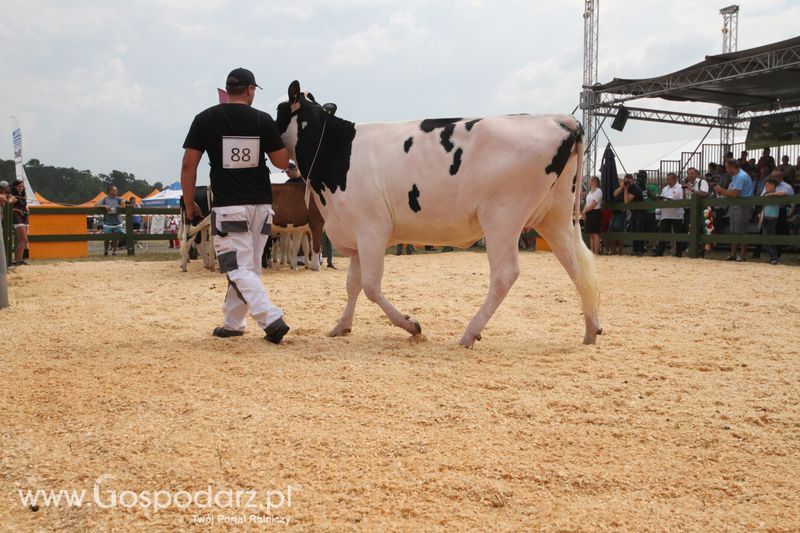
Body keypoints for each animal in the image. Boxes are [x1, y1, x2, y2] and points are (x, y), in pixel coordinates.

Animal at [276, 79, 600, 344]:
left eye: (278, 110)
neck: (338, 151)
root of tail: (560, 119)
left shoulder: (372, 229)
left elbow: (370, 286)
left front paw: (410, 325)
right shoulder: (353, 233)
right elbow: (352, 285)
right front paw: (341, 326)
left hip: (502, 216)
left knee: (505, 274)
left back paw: (470, 333)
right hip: (555, 216)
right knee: (578, 266)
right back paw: (591, 331)